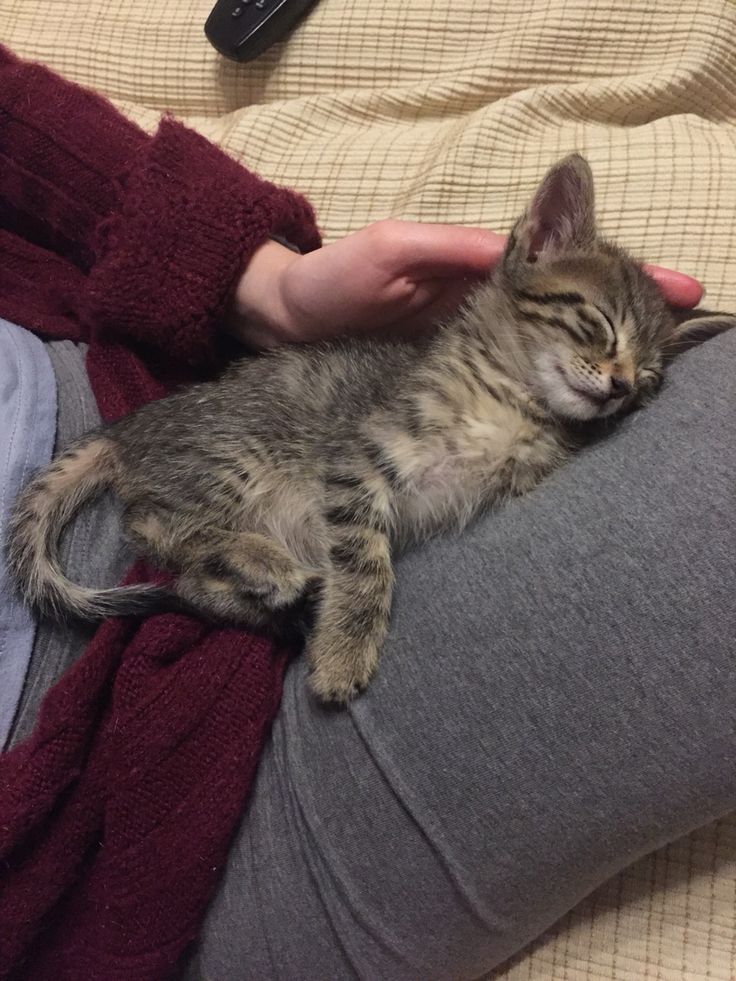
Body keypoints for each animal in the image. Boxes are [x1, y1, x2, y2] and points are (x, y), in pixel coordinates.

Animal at [7, 157, 736, 700]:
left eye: (650, 378)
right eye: (601, 325)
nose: (620, 388)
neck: (511, 399)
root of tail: (132, 425)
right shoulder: (355, 462)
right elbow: (366, 563)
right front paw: (343, 654)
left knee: (182, 577)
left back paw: (272, 597)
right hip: (233, 458)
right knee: (152, 523)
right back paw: (268, 563)